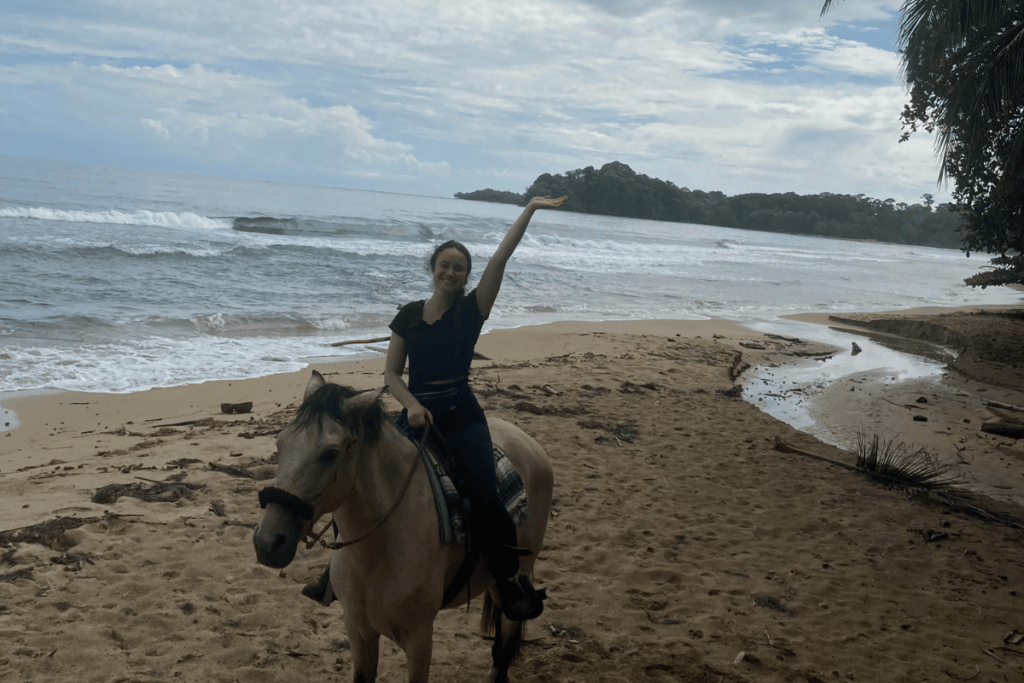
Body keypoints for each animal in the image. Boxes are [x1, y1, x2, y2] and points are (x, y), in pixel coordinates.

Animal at [250, 374, 552, 683]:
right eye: (280, 444)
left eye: (330, 454)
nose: (267, 542)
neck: (377, 553)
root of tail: (528, 442)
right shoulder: (358, 631)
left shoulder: (419, 638)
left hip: (523, 569)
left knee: (509, 634)